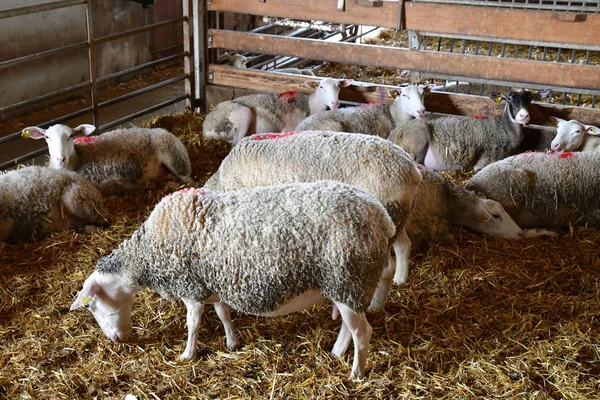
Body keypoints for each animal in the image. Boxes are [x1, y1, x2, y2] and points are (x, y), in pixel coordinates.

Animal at [70, 180, 396, 380]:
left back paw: (356, 373)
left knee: (362, 332)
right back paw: (337, 353)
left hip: (348, 278)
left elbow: (193, 324)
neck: (147, 254)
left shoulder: (191, 288)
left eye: (89, 306)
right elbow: (223, 313)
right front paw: (231, 342)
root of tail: (382, 217)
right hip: (344, 285)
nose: (116, 340)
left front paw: (187, 354)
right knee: (348, 328)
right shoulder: (214, 285)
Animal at [203, 77, 352, 146]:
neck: (310, 105)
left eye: (339, 86)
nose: (335, 103)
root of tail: (206, 126)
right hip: (241, 115)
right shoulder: (288, 129)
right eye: (321, 87)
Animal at [392, 90, 548, 171]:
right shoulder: (485, 162)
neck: (504, 129)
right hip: (418, 138)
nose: (524, 116)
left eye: (530, 99)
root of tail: (394, 134)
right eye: (509, 98)